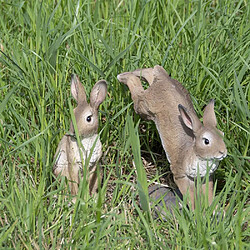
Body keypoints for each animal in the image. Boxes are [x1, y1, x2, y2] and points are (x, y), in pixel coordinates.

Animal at [117, 66, 227, 209]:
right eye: (206, 141)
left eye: (222, 135)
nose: (223, 152)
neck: (193, 153)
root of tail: (162, 77)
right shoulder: (180, 174)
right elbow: (191, 196)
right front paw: (195, 212)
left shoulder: (206, 178)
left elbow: (208, 195)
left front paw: (210, 210)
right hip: (144, 108)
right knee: (136, 90)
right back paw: (123, 76)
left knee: (150, 73)